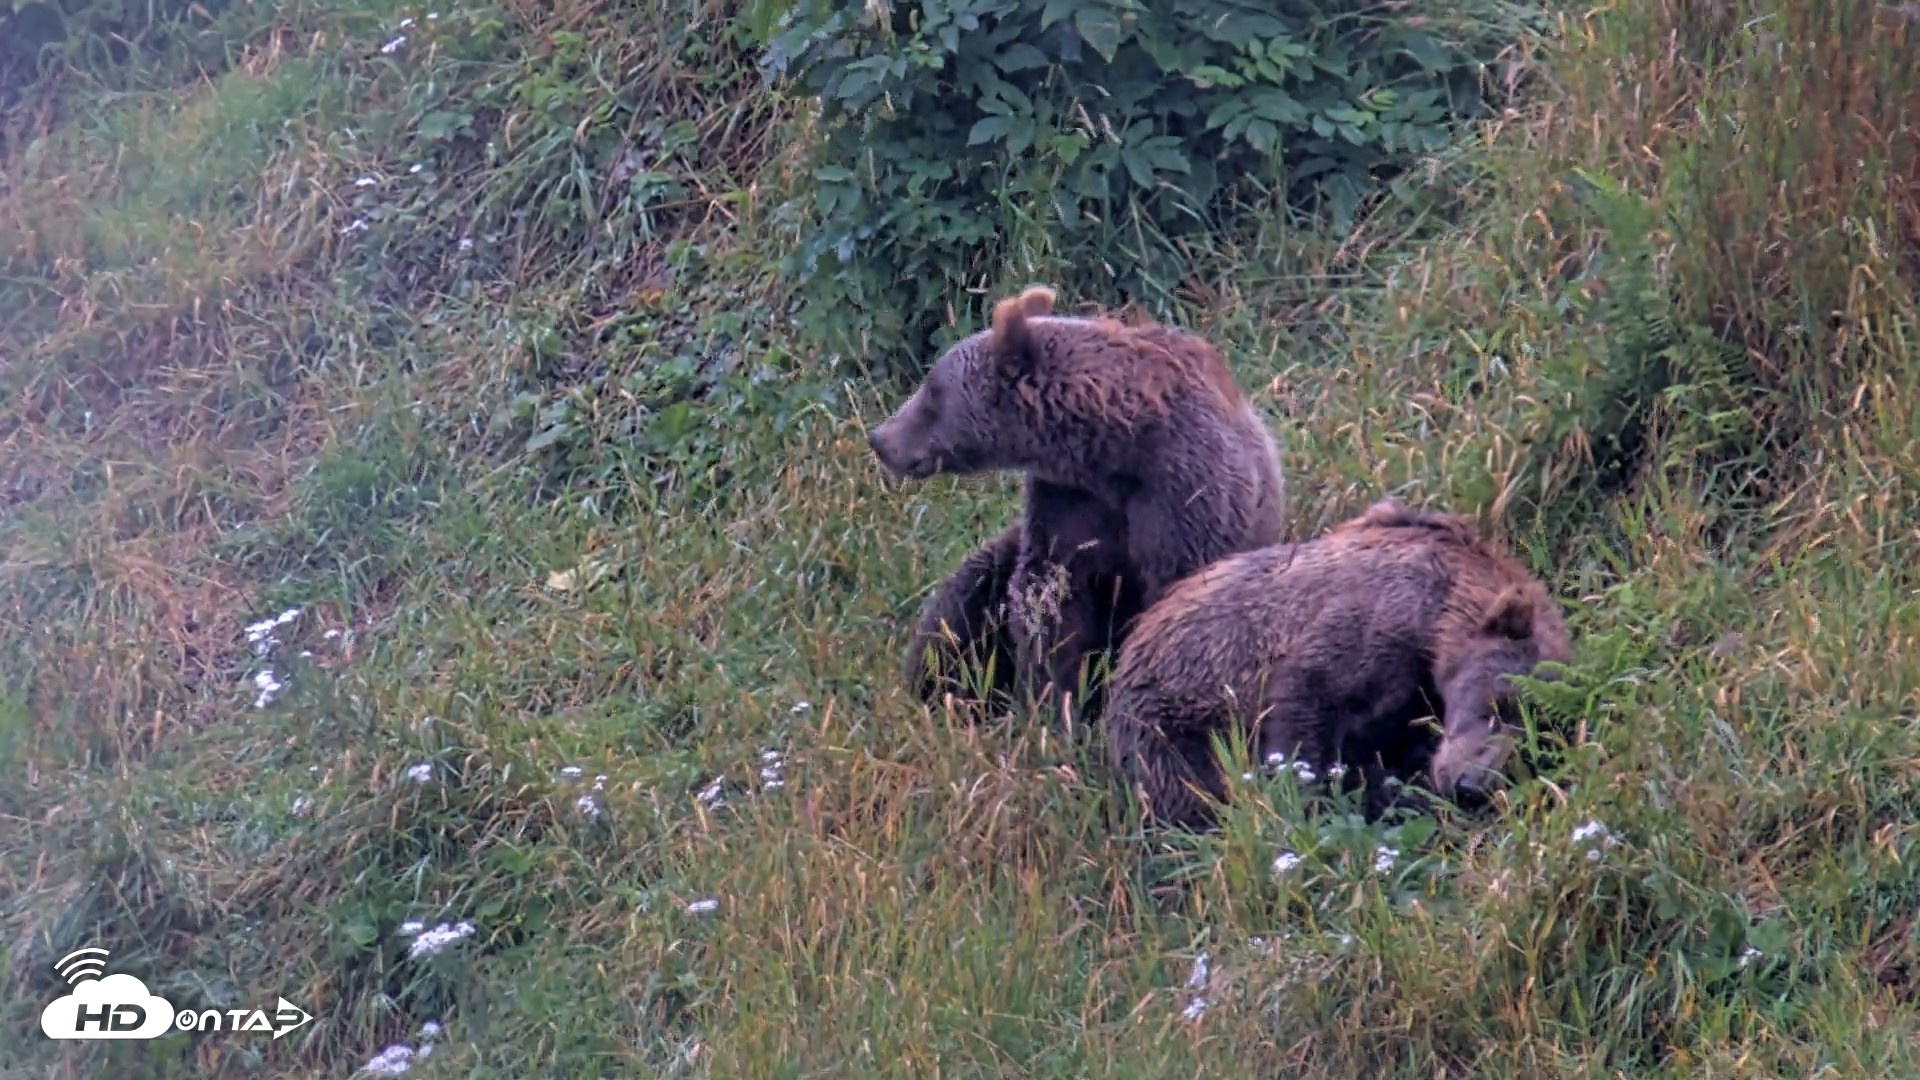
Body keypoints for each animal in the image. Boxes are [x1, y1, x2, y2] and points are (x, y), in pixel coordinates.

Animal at [869, 284, 1287, 723]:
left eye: (932, 390)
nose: (880, 438)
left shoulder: (1185, 493)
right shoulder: (1068, 501)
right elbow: (1052, 600)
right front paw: (1055, 706)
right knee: (963, 603)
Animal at [1102, 498, 1573, 831]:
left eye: (1536, 742)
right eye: (1496, 704)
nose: (1472, 786)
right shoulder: (1374, 622)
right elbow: (1307, 707)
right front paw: (1310, 801)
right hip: (1172, 716)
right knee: (1188, 786)